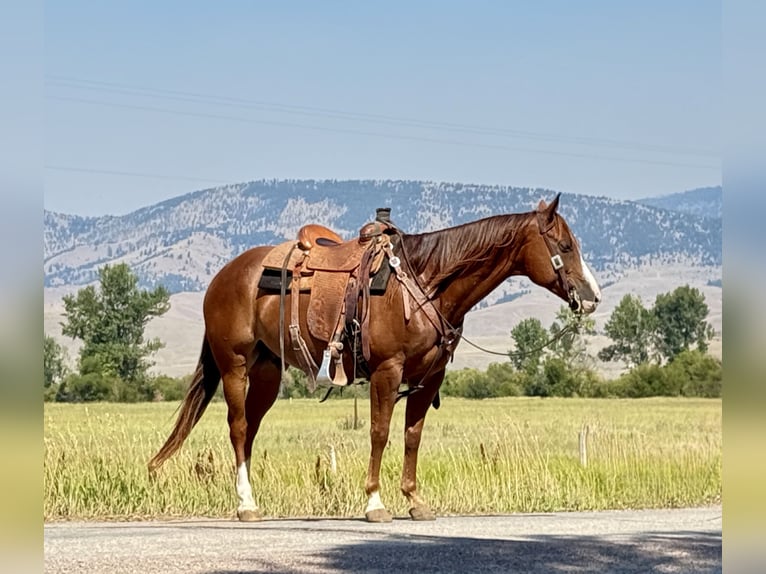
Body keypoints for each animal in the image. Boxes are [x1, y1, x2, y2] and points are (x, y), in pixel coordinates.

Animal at [149, 193, 601, 522]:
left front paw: (415, 501)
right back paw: (246, 505)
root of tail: (223, 276)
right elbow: (380, 432)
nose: (593, 297)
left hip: (266, 373)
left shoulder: (429, 378)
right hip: (235, 367)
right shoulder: (387, 370)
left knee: (251, 432)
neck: (425, 284)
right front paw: (375, 503)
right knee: (239, 428)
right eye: (564, 245)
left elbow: (412, 435)